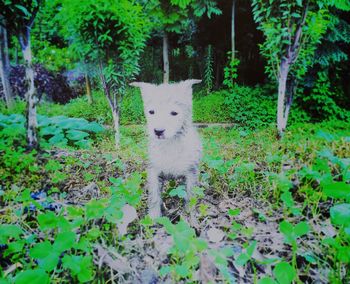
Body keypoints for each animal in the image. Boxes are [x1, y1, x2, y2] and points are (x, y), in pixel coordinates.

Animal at [131, 80, 202, 217]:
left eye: (174, 113)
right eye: (151, 112)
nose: (158, 131)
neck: (170, 144)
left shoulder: (191, 172)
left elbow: (190, 197)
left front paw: (190, 216)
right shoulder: (153, 171)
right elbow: (154, 197)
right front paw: (153, 217)